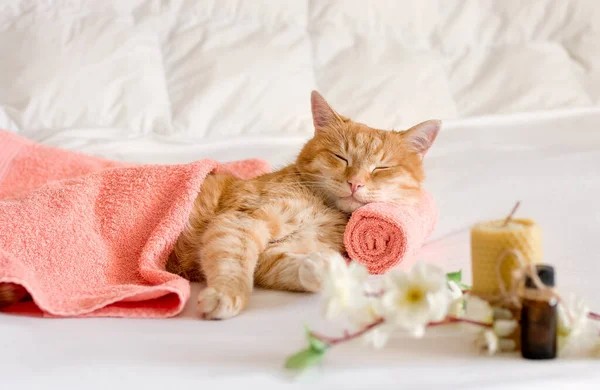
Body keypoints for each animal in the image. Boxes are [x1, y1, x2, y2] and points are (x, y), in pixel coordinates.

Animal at [0, 91, 440, 320]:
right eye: (340, 157)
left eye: (381, 167)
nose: (355, 182)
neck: (325, 208)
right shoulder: (239, 223)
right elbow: (233, 268)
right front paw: (226, 296)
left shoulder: (272, 257)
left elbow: (295, 266)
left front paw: (324, 269)